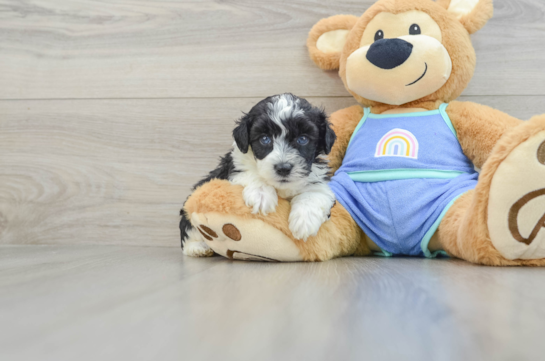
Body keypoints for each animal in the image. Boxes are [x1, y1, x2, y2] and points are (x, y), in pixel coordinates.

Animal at [181, 93, 336, 256]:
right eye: (265, 139)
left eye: (303, 139)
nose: (283, 168)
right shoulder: (233, 167)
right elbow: (250, 172)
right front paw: (262, 195)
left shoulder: (319, 182)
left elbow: (315, 193)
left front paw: (305, 221)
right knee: (189, 232)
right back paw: (199, 248)